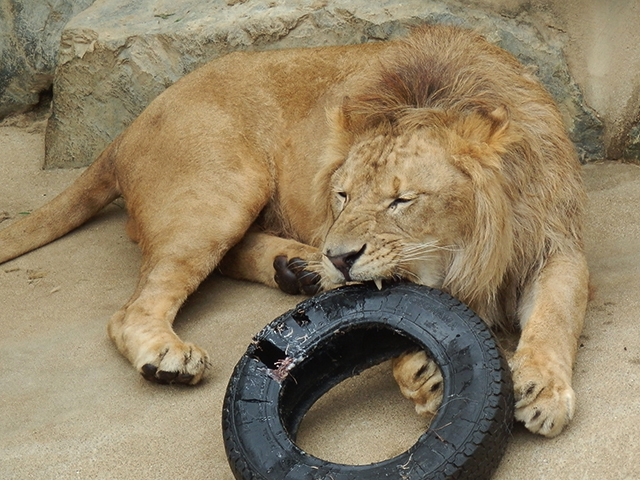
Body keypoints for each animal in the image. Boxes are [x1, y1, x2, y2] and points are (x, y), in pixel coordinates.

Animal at [1, 24, 592, 436]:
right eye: (342, 195)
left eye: (402, 200)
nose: (340, 257)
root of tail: (128, 126)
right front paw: (424, 373)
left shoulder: (557, 243)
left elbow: (555, 314)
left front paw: (540, 390)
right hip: (222, 189)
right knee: (134, 308)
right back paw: (171, 354)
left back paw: (296, 269)